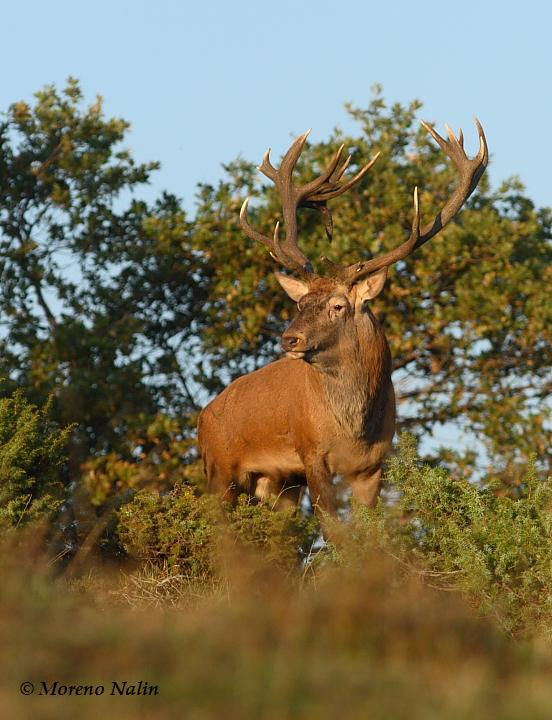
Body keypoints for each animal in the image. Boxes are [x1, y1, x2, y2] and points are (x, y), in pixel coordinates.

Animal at [198, 121, 488, 520]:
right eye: (301, 302)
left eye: (338, 306)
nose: (289, 339)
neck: (354, 430)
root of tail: (203, 418)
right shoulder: (311, 454)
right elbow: (333, 528)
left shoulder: (371, 466)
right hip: (220, 470)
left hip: (279, 483)